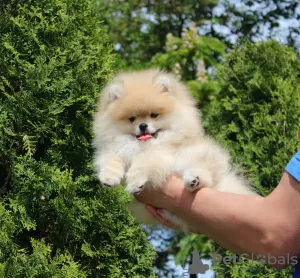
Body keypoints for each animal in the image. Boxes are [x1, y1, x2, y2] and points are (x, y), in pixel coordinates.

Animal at [93, 68, 255, 229]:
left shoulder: (163, 154)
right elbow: (110, 160)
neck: (143, 146)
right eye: (132, 118)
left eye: (154, 115)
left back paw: (194, 180)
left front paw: (135, 182)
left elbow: (143, 162)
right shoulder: (116, 148)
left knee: (205, 177)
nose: (143, 125)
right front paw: (108, 177)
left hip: (192, 155)